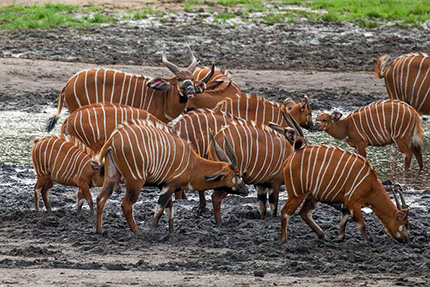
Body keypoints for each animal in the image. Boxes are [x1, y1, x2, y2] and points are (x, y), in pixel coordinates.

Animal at [280, 129, 412, 244]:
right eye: (405, 224)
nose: (407, 239)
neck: (371, 185)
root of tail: (293, 154)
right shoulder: (353, 202)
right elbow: (362, 224)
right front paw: (367, 242)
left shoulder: (346, 204)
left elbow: (344, 220)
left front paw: (339, 238)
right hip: (297, 194)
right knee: (285, 212)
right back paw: (284, 240)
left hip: (312, 197)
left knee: (304, 213)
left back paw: (323, 235)